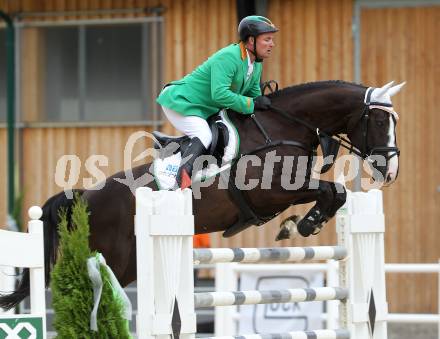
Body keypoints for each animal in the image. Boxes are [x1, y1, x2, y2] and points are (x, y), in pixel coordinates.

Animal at [0, 79, 404, 310]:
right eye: (379, 120)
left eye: (394, 121)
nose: (390, 172)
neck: (283, 126)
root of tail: (85, 197)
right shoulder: (272, 191)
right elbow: (332, 190)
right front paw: (305, 225)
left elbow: (336, 194)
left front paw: (296, 225)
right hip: (112, 259)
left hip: (127, 265)